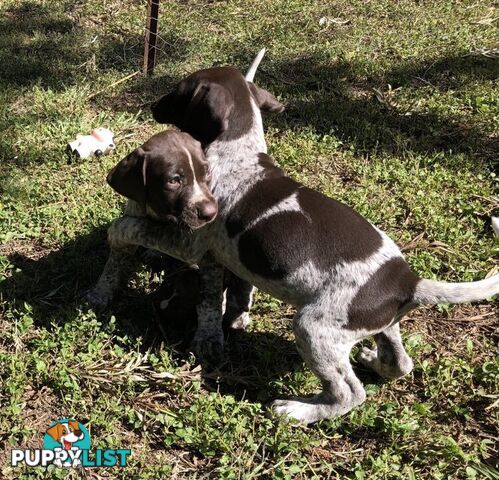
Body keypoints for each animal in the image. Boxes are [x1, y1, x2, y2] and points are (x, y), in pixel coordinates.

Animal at [91, 57, 499, 424]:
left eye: (179, 89)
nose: (152, 103)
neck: (239, 152)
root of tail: (409, 281)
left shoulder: (192, 238)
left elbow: (136, 228)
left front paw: (120, 231)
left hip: (313, 329)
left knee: (350, 394)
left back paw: (300, 411)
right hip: (377, 325)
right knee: (401, 362)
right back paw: (372, 360)